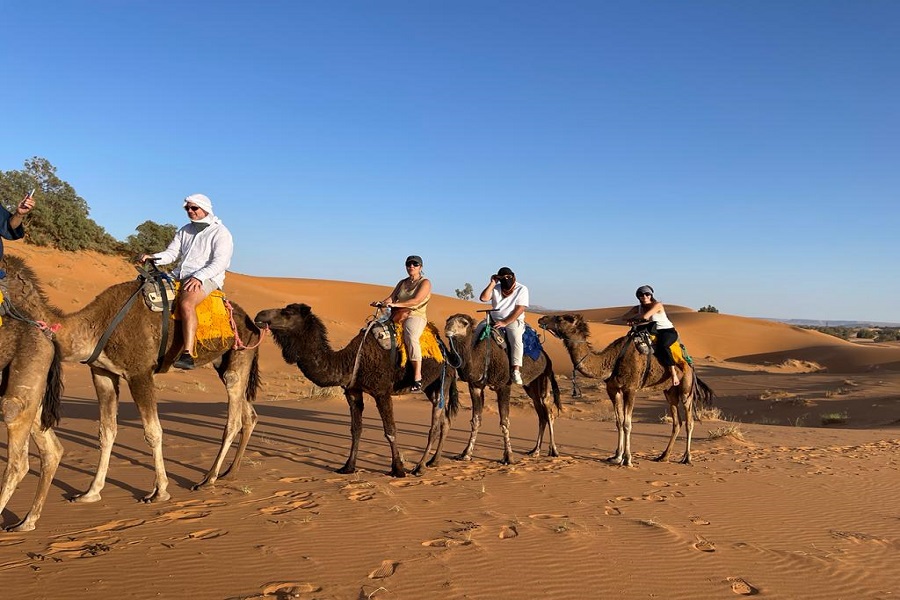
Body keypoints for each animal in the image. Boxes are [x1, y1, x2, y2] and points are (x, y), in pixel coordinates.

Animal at [0, 255, 262, 504]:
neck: (94, 327)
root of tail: (252, 323)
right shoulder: (103, 373)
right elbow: (106, 432)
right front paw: (91, 492)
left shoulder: (139, 372)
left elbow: (153, 432)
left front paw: (159, 492)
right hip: (222, 361)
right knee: (248, 415)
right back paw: (230, 472)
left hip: (240, 354)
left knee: (233, 418)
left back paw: (208, 479)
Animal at [255, 304, 460, 478]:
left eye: (288, 313)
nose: (260, 315)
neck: (353, 359)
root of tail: (446, 351)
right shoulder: (353, 391)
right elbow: (356, 429)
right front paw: (348, 467)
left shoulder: (382, 392)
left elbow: (390, 430)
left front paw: (398, 469)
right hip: (431, 387)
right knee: (446, 421)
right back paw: (434, 461)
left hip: (443, 380)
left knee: (435, 426)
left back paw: (420, 467)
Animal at [444, 314, 564, 464]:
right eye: (448, 320)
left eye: (464, 323)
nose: (447, 330)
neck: (482, 356)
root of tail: (546, 357)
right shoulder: (475, 386)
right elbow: (476, 420)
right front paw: (466, 454)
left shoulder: (504, 386)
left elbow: (505, 421)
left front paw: (509, 457)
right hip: (530, 386)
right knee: (541, 415)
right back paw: (535, 451)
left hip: (544, 377)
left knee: (549, 411)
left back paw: (554, 451)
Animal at [536, 314, 716, 468]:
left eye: (560, 318)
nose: (541, 319)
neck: (612, 361)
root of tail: (690, 363)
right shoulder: (613, 389)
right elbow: (619, 422)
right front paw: (616, 456)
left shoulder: (631, 389)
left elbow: (627, 423)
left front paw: (627, 459)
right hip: (669, 391)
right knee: (677, 422)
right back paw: (663, 456)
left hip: (686, 389)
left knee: (689, 421)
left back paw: (687, 458)